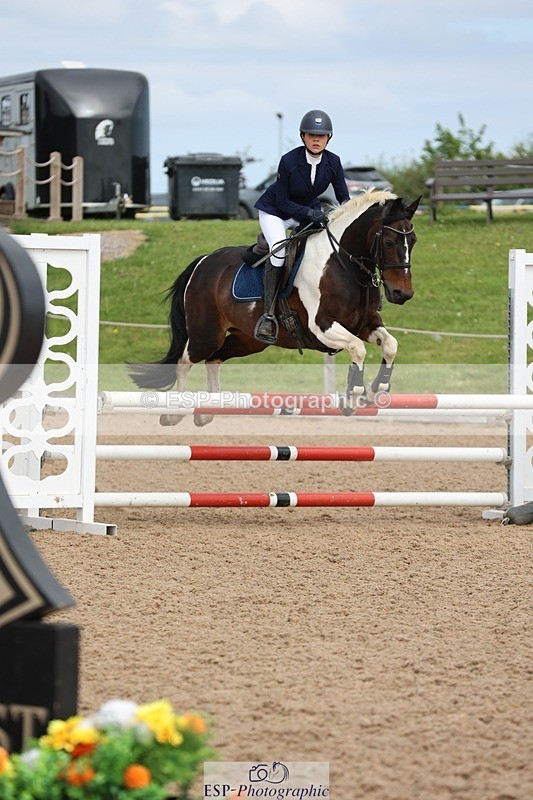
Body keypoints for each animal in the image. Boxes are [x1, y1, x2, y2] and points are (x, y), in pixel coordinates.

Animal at [130, 188, 420, 426]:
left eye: (414, 241)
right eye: (389, 242)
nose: (402, 294)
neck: (343, 264)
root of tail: (204, 262)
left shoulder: (366, 324)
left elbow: (390, 345)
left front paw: (376, 389)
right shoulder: (322, 327)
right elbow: (357, 348)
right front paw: (354, 396)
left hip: (248, 340)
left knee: (214, 359)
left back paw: (207, 411)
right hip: (206, 334)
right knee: (184, 362)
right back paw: (176, 413)